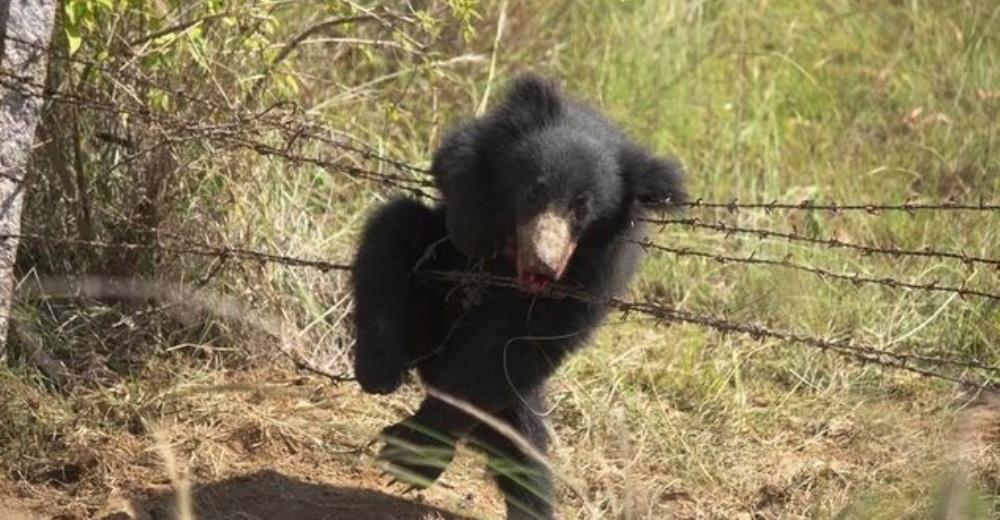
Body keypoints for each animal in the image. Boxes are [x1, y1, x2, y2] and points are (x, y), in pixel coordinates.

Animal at [352, 74, 688, 520]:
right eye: (533, 193)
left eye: (581, 210)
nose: (543, 264)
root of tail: (431, 359)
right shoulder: (487, 146)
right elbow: (455, 156)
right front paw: (476, 231)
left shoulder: (596, 275)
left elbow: (522, 343)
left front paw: (408, 452)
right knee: (394, 229)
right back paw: (380, 369)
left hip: (509, 390)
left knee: (523, 446)